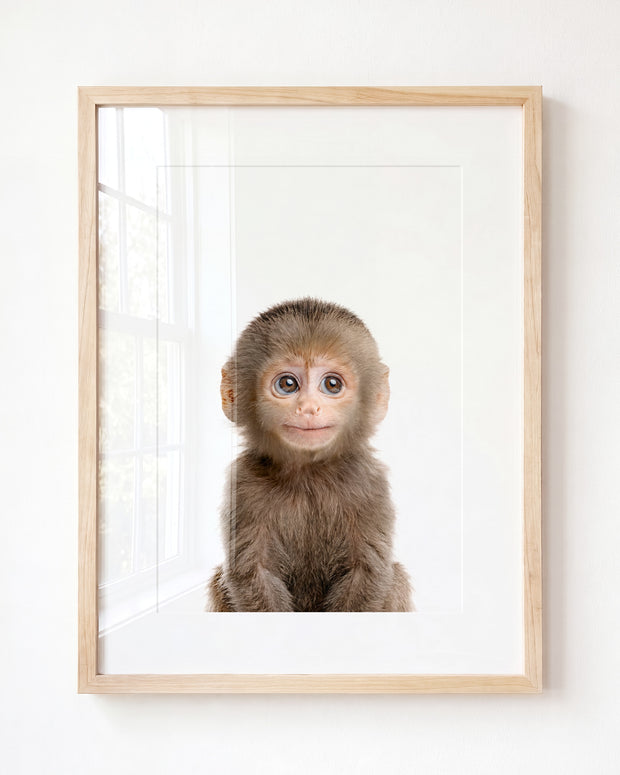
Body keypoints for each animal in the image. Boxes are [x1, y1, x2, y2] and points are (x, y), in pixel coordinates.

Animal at [207, 297, 412, 612]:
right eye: (287, 384)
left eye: (332, 384)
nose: (308, 408)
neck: (309, 474)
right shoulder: (243, 485)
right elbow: (253, 573)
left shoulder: (369, 483)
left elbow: (366, 572)